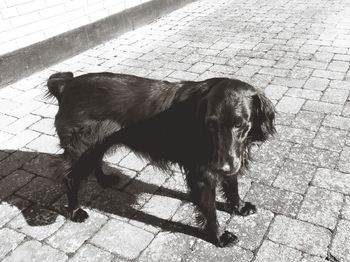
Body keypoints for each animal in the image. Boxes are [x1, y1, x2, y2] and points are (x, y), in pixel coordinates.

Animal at [47, 71, 276, 248]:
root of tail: (66, 84)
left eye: (239, 124)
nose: (222, 167)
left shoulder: (229, 160)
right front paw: (219, 237)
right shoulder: (203, 173)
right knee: (71, 178)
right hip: (82, 148)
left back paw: (104, 180)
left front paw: (239, 207)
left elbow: (232, 185)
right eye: (210, 124)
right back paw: (75, 211)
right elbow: (210, 210)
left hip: (98, 142)